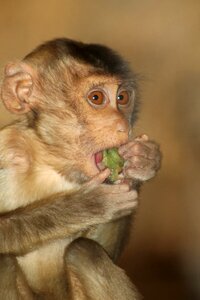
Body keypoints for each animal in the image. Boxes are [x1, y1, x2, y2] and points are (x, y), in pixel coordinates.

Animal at [0, 38, 160, 298]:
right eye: (96, 98)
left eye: (122, 98)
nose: (123, 127)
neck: (52, 162)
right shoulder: (6, 147)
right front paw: (86, 205)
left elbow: (105, 252)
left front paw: (141, 161)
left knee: (85, 251)